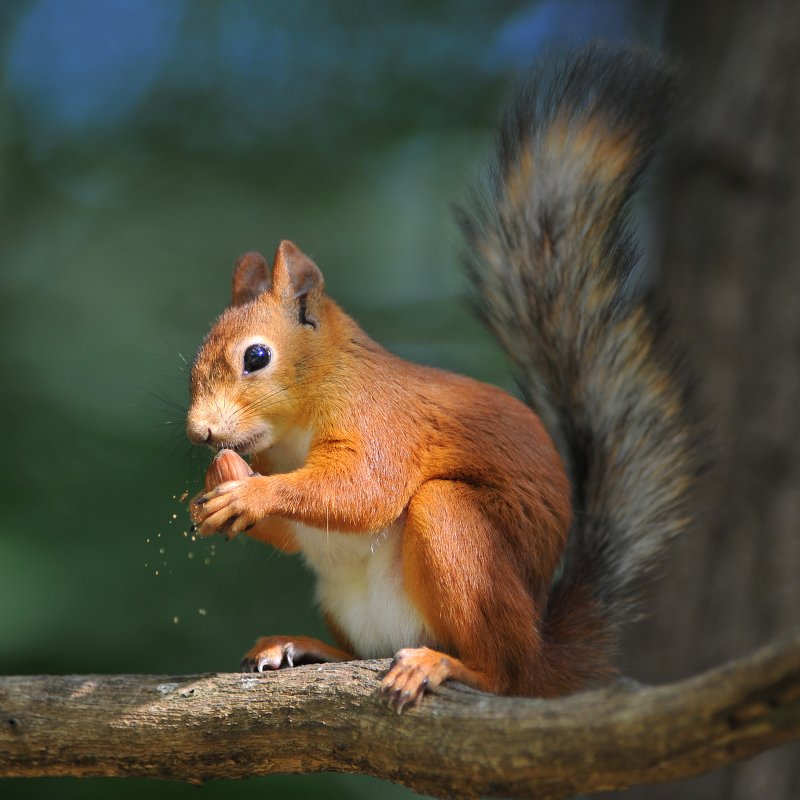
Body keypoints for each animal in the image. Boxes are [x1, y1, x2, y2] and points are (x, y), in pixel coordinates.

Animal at [186, 45, 688, 712]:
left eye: (257, 357)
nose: (199, 432)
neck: (296, 426)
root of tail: (543, 656)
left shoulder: (382, 420)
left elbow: (363, 489)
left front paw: (248, 493)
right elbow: (297, 533)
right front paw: (212, 491)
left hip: (457, 535)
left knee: (500, 670)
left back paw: (444, 664)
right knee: (361, 647)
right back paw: (305, 646)